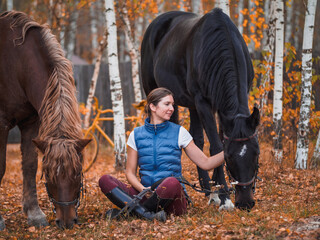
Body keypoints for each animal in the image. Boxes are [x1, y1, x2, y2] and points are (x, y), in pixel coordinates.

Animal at [0, 11, 90, 229]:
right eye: (49, 175)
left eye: (77, 173)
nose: (67, 221)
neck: (17, 64)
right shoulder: (1, 123)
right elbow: (1, 166)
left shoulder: (31, 123)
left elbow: (30, 165)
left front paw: (34, 213)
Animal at [142, 7, 260, 210]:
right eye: (229, 157)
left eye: (256, 153)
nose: (245, 202)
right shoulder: (203, 102)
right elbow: (216, 145)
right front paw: (224, 197)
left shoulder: (220, 107)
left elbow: (215, 141)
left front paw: (217, 191)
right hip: (161, 95)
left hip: (190, 104)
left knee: (196, 139)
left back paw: (207, 190)